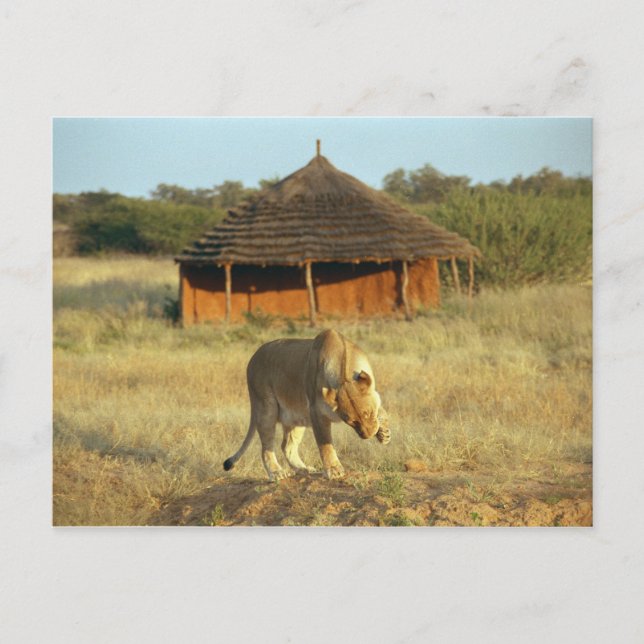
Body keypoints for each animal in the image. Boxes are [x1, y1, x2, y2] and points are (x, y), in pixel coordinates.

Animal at [223, 329, 390, 480]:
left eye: (368, 413)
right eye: (352, 422)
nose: (368, 435)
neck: (344, 371)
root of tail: (252, 359)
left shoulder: (373, 392)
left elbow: (382, 411)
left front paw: (384, 433)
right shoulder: (316, 411)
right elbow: (325, 444)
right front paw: (333, 469)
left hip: (296, 416)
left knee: (286, 445)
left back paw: (304, 469)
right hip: (266, 408)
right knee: (266, 447)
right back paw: (277, 472)